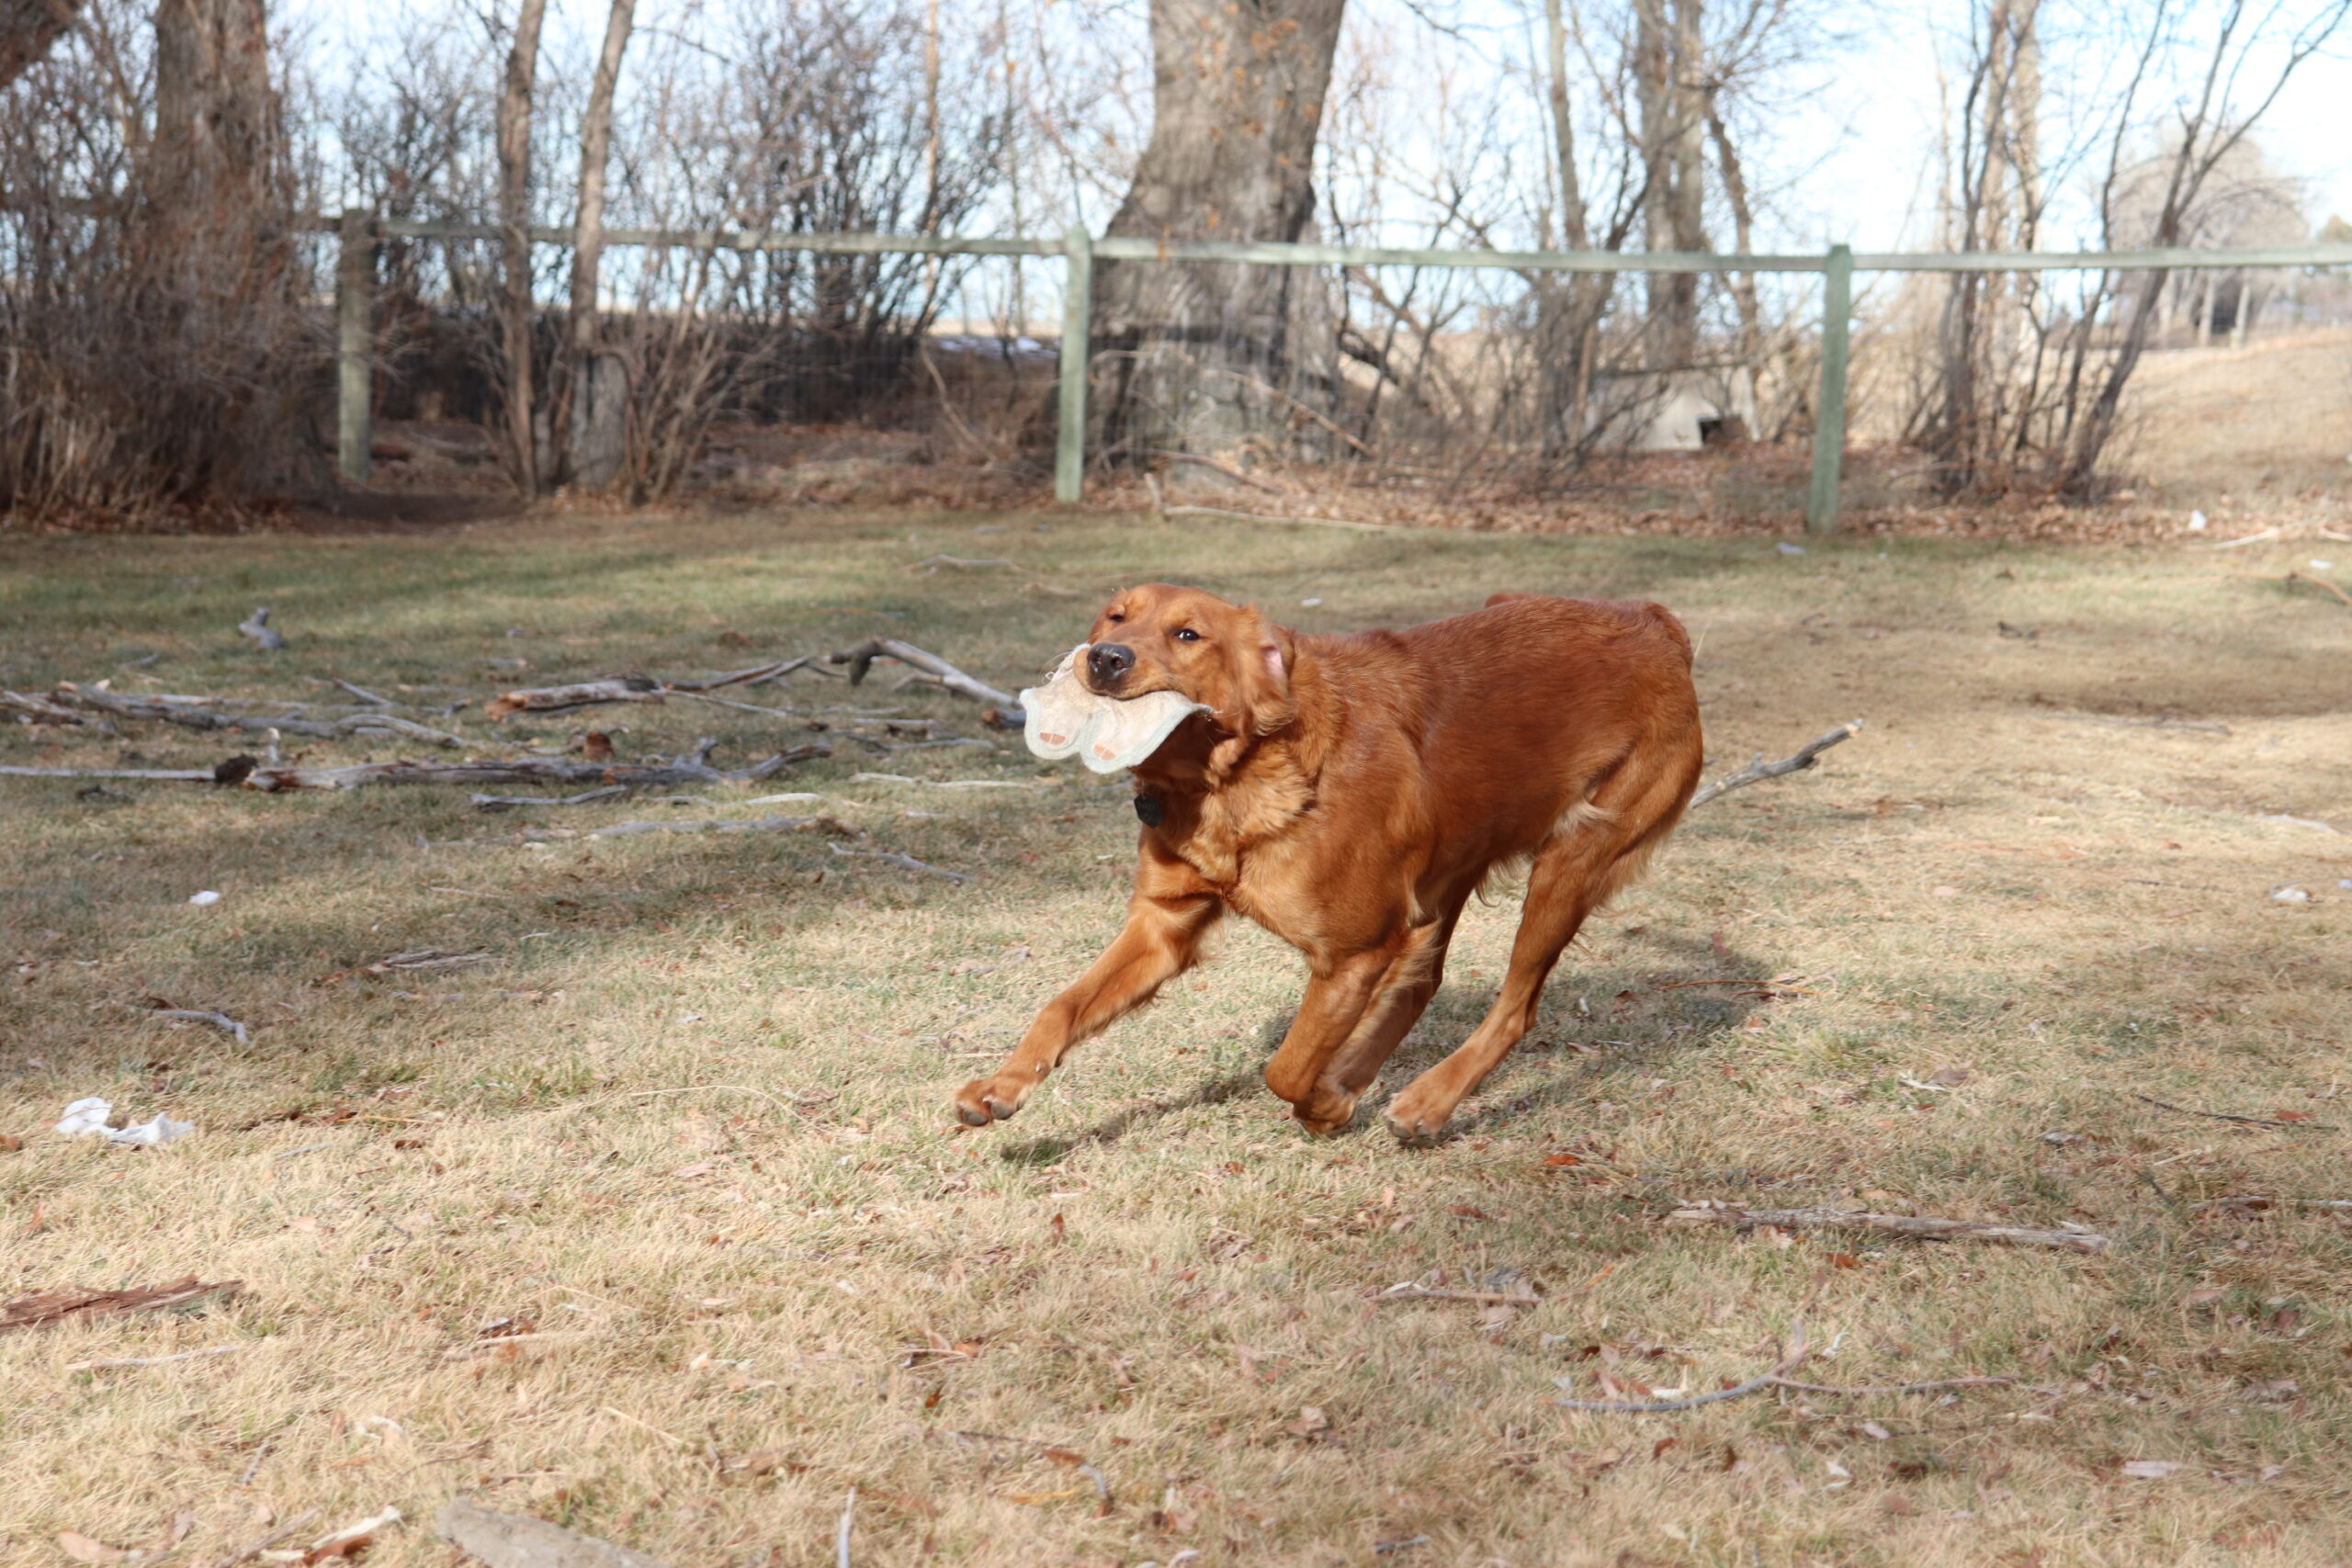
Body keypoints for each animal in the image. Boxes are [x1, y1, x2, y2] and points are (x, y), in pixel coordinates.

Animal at [953, 584, 1704, 1140]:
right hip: (1449, 867)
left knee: (1516, 1006)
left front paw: (1325, 1104)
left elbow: (1285, 1068)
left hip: (1572, 860)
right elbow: (1061, 1005)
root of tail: (1655, 621)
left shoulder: (1353, 951)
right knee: (1424, 982)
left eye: (1187, 635)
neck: (1230, 781)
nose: (1104, 659)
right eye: (1116, 617)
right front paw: (1000, 1086)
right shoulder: (1163, 926)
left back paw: (1423, 1102)